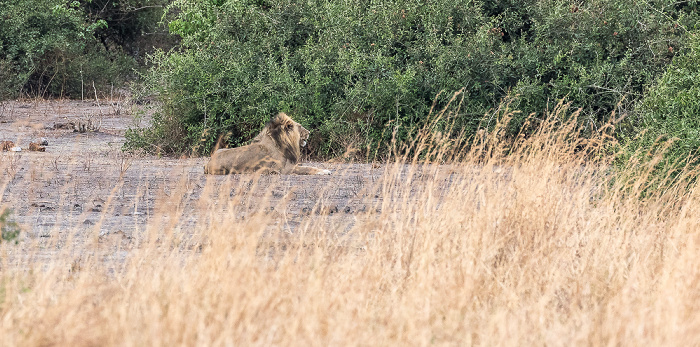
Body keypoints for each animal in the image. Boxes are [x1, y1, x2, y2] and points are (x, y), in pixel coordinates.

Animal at [204, 113, 332, 175]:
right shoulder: (286, 170)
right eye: (300, 126)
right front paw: (325, 171)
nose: (309, 132)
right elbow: (308, 168)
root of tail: (208, 163)